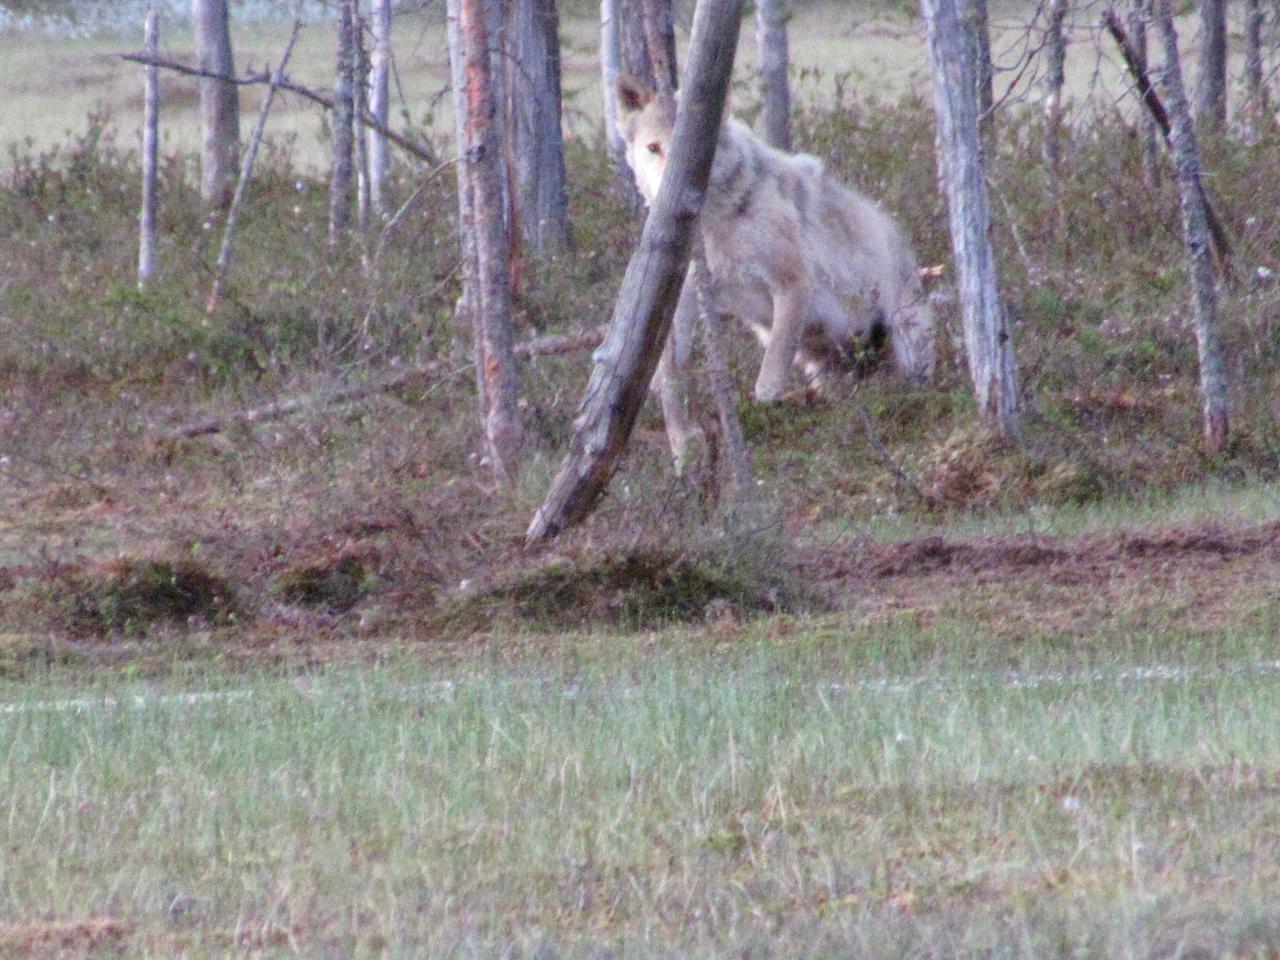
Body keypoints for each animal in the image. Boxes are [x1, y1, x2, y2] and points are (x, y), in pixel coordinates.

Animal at [614, 74, 936, 465]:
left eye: (692, 156)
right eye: (653, 148)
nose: (669, 198)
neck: (715, 226)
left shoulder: (793, 283)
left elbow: (770, 371)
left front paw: (763, 407)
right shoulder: (684, 297)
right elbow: (671, 376)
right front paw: (682, 448)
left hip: (906, 344)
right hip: (826, 369)